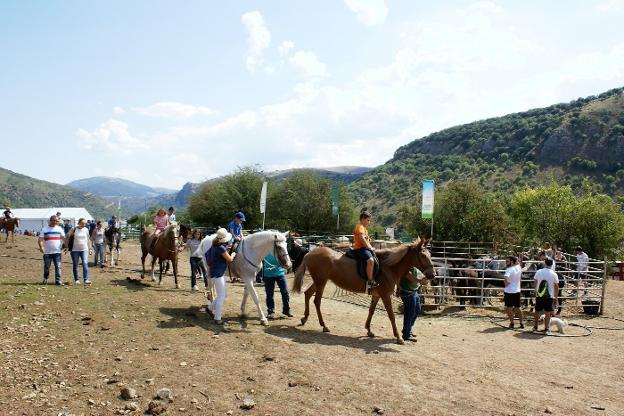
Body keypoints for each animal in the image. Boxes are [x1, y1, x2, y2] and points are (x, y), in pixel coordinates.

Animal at [292, 237, 434, 344]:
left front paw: (369, 330)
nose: (432, 274)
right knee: (317, 301)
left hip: (319, 281)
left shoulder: (376, 295)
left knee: (307, 294)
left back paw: (304, 319)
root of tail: (309, 253)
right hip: (321, 282)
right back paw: (324, 326)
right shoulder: (385, 295)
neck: (388, 267)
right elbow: (391, 316)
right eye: (423, 255)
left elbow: (371, 311)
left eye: (430, 254)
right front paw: (399, 337)